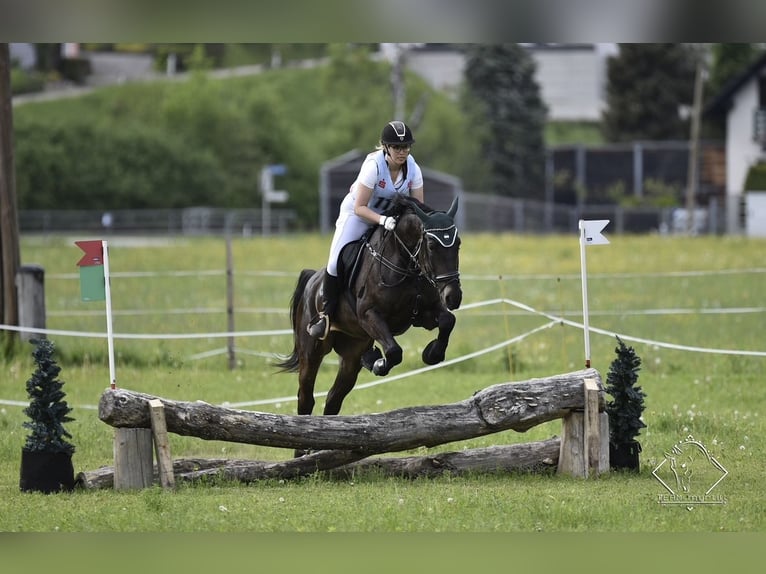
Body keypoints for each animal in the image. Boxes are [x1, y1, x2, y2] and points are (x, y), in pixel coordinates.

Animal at [276, 196, 462, 426]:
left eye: (458, 244)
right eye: (431, 245)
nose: (453, 296)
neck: (407, 265)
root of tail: (312, 281)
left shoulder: (425, 314)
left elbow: (447, 320)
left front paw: (432, 353)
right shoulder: (369, 315)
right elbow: (394, 351)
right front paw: (378, 363)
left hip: (351, 352)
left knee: (333, 399)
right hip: (312, 351)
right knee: (306, 397)